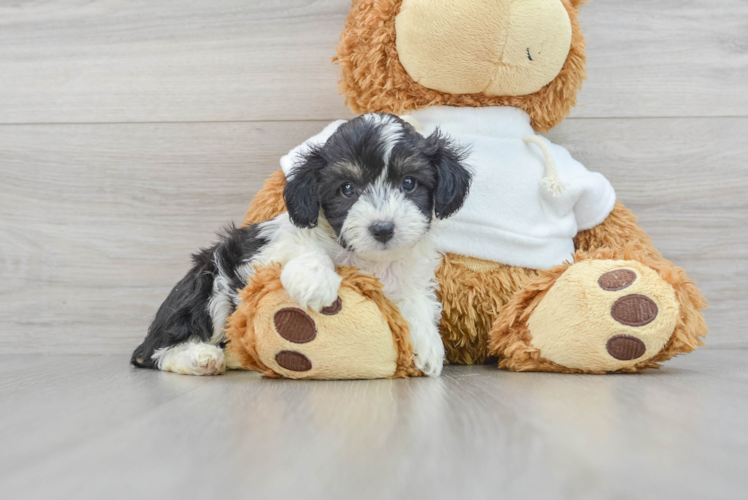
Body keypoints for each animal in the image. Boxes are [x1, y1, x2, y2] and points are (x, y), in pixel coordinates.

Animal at [128, 114, 468, 376]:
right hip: (211, 280)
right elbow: (308, 249)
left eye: (408, 183)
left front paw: (427, 347)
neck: (368, 259)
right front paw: (316, 282)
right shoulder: (266, 251)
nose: (382, 228)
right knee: (159, 349)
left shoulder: (409, 272)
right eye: (347, 189)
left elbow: (417, 300)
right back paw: (199, 358)